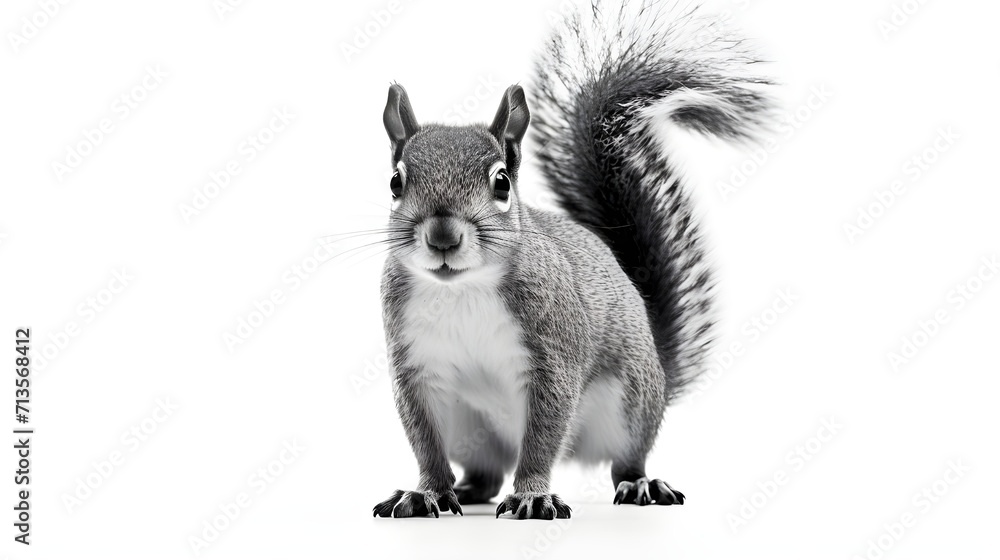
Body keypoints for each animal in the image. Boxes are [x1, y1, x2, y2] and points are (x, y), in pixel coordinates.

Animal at [372, 0, 772, 520]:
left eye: (502, 182)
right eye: (395, 182)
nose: (442, 237)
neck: (461, 289)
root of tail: (661, 376)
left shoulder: (553, 356)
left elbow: (543, 435)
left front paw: (532, 495)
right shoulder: (416, 368)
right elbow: (424, 442)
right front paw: (426, 493)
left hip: (628, 404)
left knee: (625, 459)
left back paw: (641, 485)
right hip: (467, 425)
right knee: (485, 473)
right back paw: (465, 489)